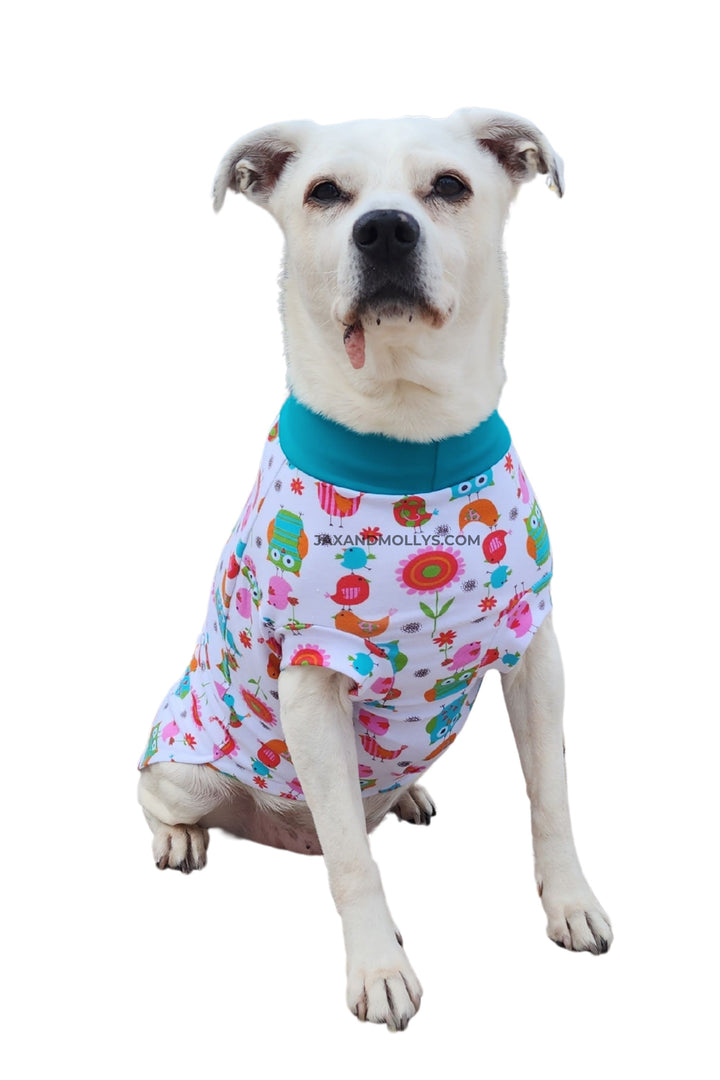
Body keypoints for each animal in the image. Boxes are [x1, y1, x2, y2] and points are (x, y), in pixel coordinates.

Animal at [139, 107, 613, 1028]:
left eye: (451, 186)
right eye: (325, 192)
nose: (385, 228)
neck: (409, 445)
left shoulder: (535, 653)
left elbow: (551, 793)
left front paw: (571, 901)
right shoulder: (310, 686)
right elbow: (354, 863)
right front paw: (379, 969)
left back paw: (411, 794)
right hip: (184, 763)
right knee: (165, 798)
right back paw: (180, 836)